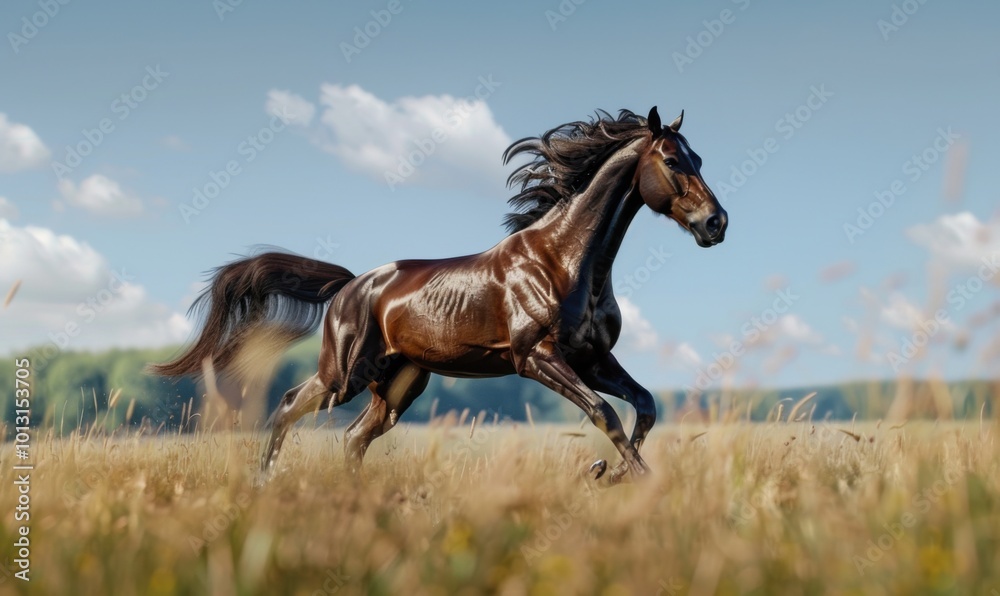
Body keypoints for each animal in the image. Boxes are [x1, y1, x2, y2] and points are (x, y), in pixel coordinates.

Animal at [150, 106, 728, 484]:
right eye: (672, 161)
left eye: (699, 157)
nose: (715, 224)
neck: (564, 261)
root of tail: (350, 285)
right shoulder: (537, 358)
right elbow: (603, 412)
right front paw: (623, 474)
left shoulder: (594, 357)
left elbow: (644, 406)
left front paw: (612, 472)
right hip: (344, 375)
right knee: (291, 405)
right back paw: (264, 482)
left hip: (399, 385)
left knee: (354, 437)